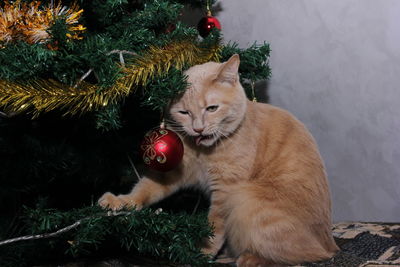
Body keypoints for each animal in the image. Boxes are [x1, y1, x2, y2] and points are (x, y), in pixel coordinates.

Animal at [98, 55, 340, 267]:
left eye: (212, 108)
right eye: (184, 112)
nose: (198, 128)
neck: (203, 153)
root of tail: (330, 244)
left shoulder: (226, 191)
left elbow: (213, 227)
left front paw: (200, 253)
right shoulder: (172, 172)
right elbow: (144, 189)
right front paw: (121, 202)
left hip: (247, 200)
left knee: (307, 254)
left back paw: (251, 258)